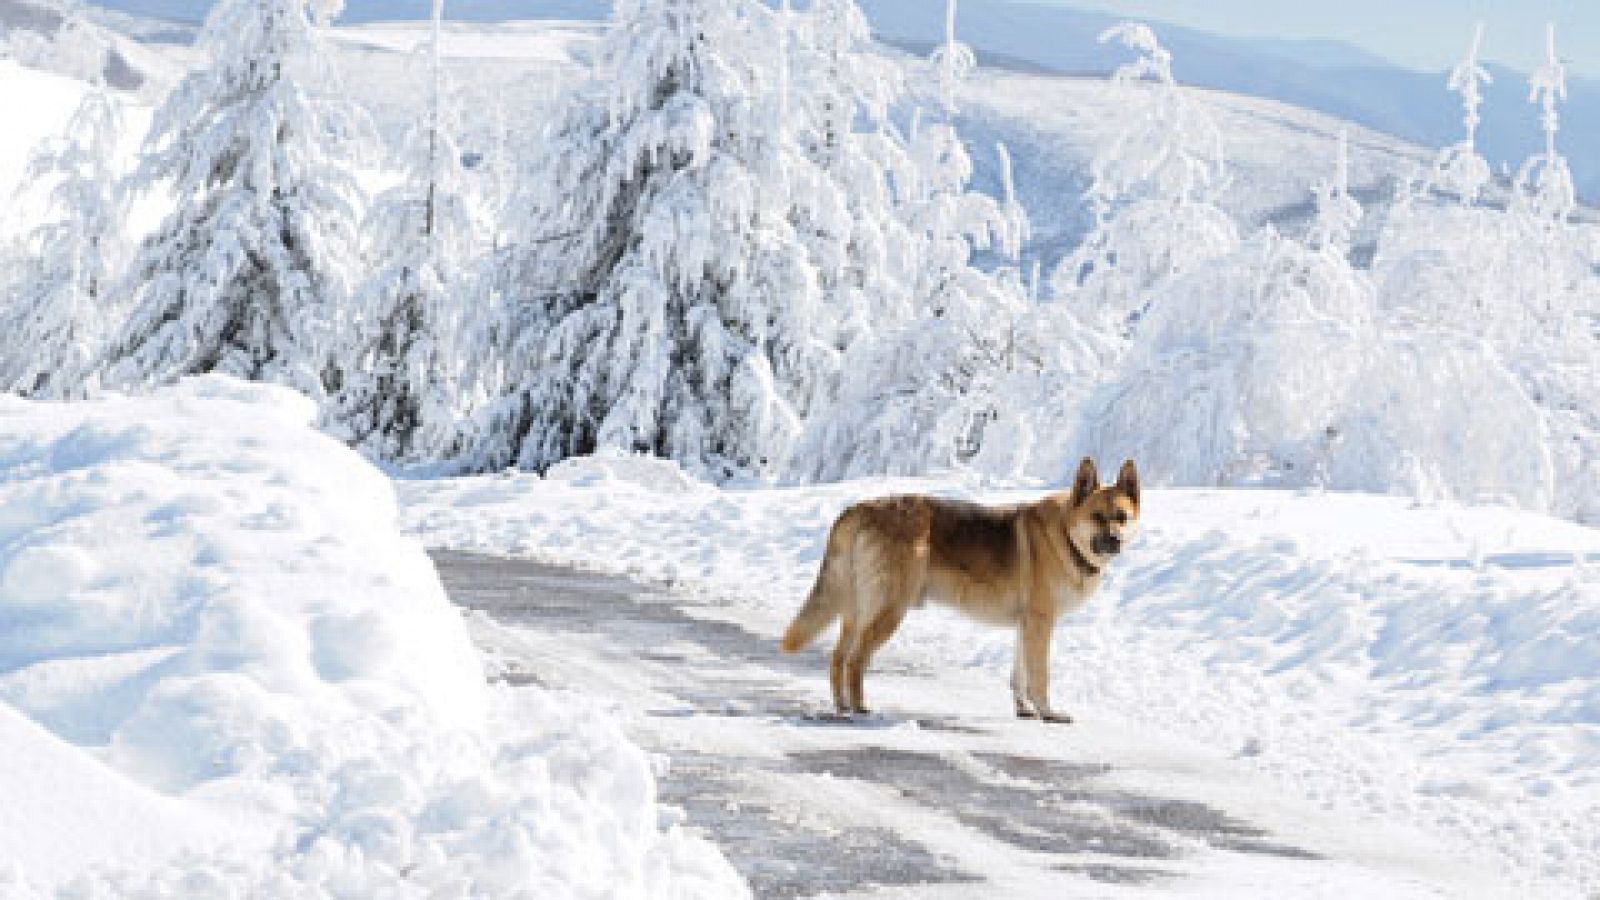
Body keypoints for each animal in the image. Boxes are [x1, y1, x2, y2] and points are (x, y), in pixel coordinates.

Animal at [777, 458, 1139, 717]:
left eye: (1122, 517)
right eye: (1097, 516)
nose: (1115, 541)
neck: (1066, 535)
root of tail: (859, 508)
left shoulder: (1026, 626)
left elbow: (1019, 675)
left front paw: (1024, 710)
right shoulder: (1040, 623)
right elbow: (1039, 676)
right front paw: (1048, 712)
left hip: (856, 611)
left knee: (837, 657)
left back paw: (841, 706)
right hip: (888, 611)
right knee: (855, 660)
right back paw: (859, 707)